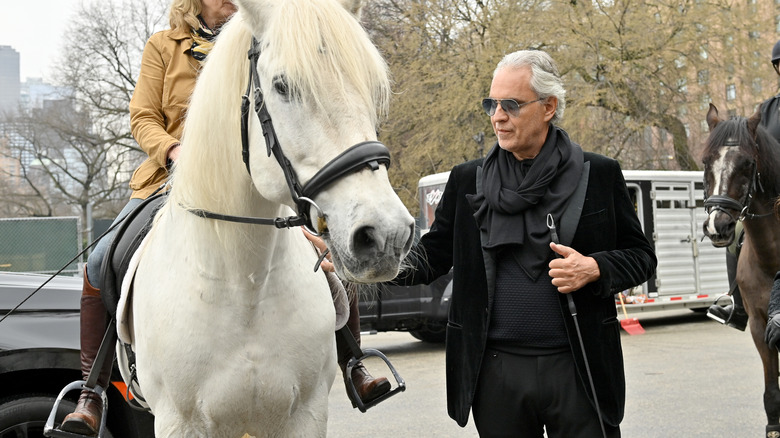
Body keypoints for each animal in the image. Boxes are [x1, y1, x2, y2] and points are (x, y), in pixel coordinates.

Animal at [122, 1, 414, 436]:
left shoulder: (305, 415)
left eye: (372, 87)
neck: (244, 285)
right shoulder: (178, 422)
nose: (385, 235)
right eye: (282, 86)